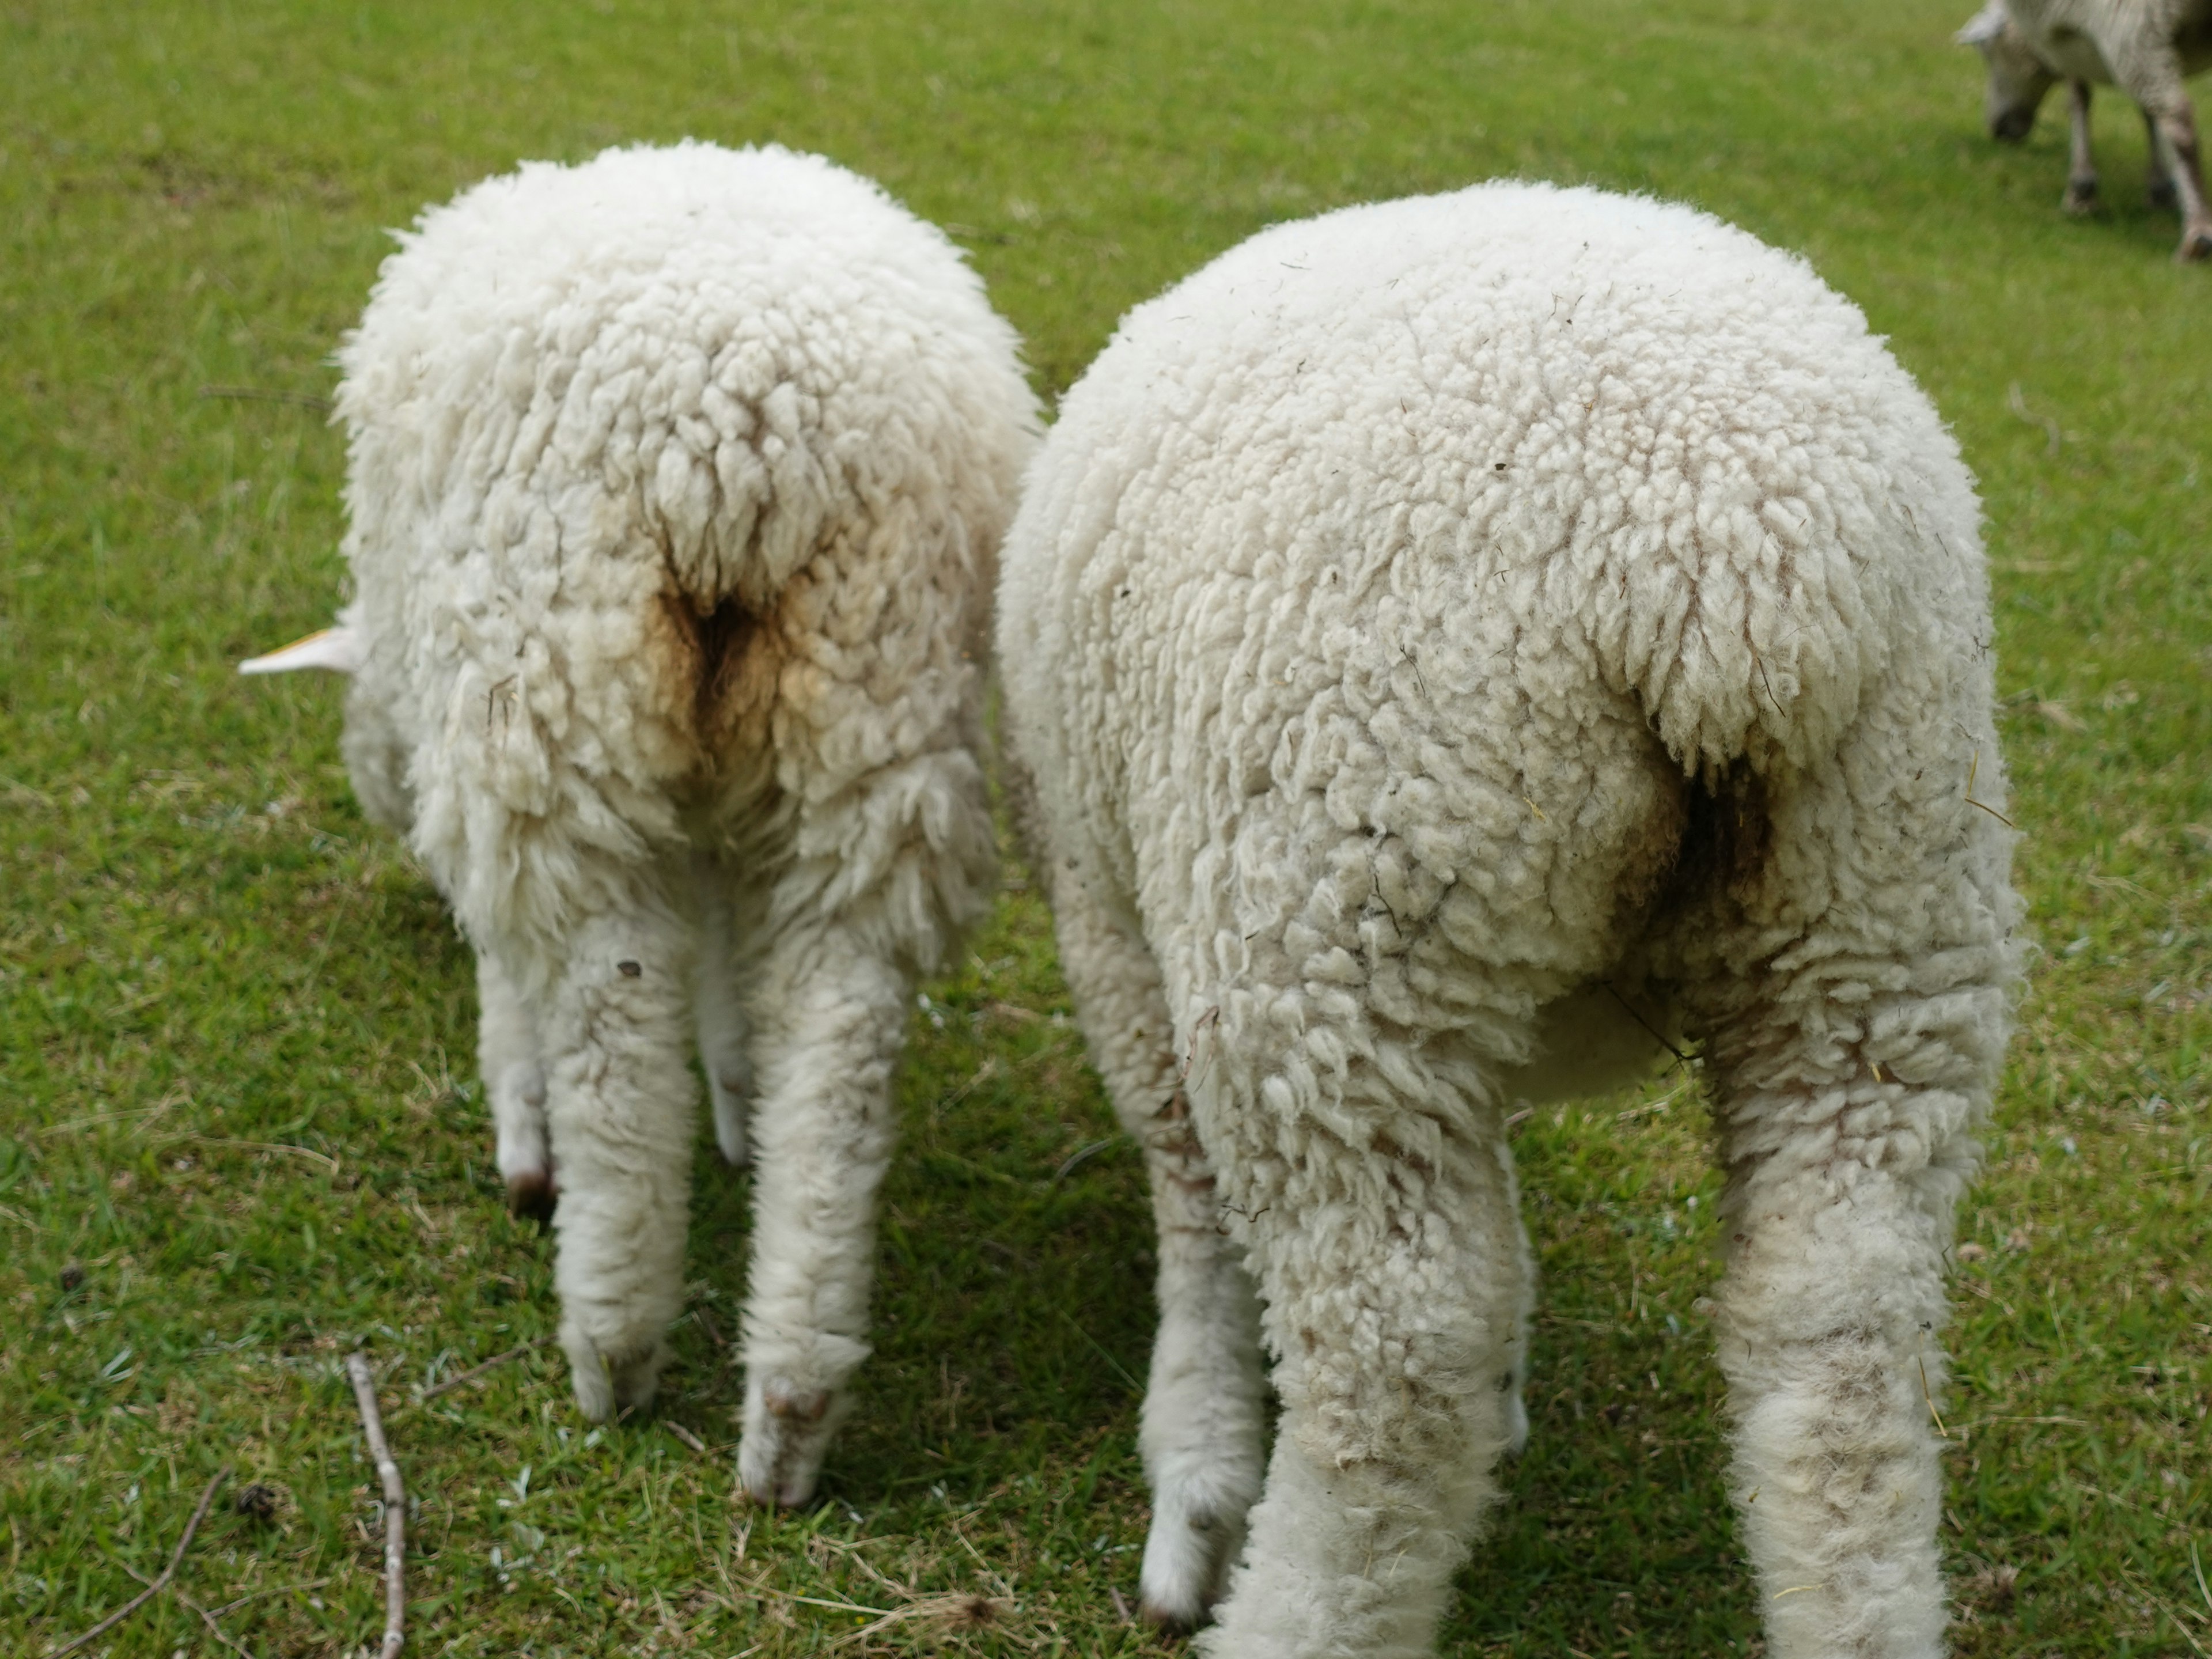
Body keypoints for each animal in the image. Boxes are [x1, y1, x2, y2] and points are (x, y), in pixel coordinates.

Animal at [247, 142, 1039, 1513]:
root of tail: (749, 425)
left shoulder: (488, 755)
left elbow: (512, 995)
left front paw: (525, 1147)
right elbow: (727, 956)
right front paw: (735, 1101)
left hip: (560, 686)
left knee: (610, 1011)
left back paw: (611, 1352)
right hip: (871, 689)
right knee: (838, 1024)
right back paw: (789, 1412)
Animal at [1004, 181, 2026, 1659]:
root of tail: (1731, 554)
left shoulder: (1113, 921)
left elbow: (1187, 1198)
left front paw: (1194, 1470)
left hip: (1333, 924)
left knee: (1396, 1356)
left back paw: (1291, 1606)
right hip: (1882, 917)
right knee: (1841, 1343)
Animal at [1955, 0, 2212, 260]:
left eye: (1987, 51)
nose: (1998, 129)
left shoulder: (2078, 36)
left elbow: (2079, 97)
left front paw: (2081, 192)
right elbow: (2146, 112)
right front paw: (2161, 188)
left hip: (2135, 28)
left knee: (2179, 119)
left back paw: (2197, 236)